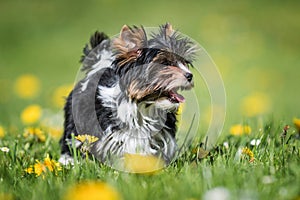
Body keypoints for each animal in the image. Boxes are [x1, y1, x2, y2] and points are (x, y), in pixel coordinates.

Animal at [59, 22, 197, 168]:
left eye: (184, 62)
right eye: (165, 63)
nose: (190, 75)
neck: (145, 105)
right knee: (72, 136)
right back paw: (67, 160)